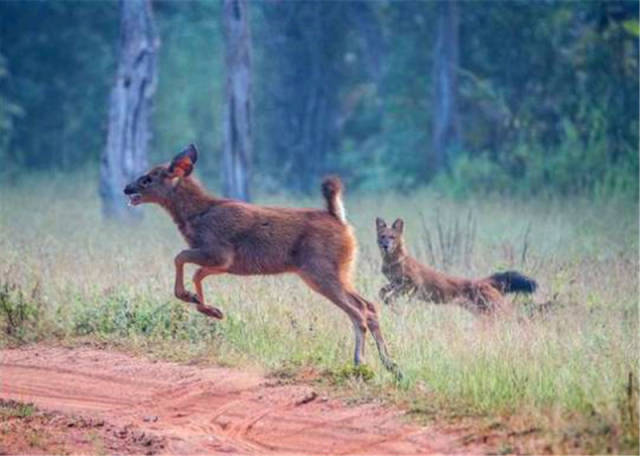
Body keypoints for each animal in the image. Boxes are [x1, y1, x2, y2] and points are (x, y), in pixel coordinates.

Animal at [124, 144, 400, 376]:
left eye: (148, 178)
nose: (127, 188)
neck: (195, 217)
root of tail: (339, 219)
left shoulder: (219, 252)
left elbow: (182, 260)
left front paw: (198, 302)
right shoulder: (224, 262)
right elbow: (195, 271)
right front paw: (208, 308)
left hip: (319, 271)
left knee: (358, 311)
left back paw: (360, 363)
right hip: (339, 270)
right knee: (369, 306)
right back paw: (391, 365)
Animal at [376, 217, 536, 314]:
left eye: (392, 237)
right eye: (382, 236)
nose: (385, 245)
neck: (393, 261)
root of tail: (482, 281)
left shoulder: (413, 284)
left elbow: (393, 294)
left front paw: (392, 304)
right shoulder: (394, 282)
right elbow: (382, 291)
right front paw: (388, 302)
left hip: (496, 310)